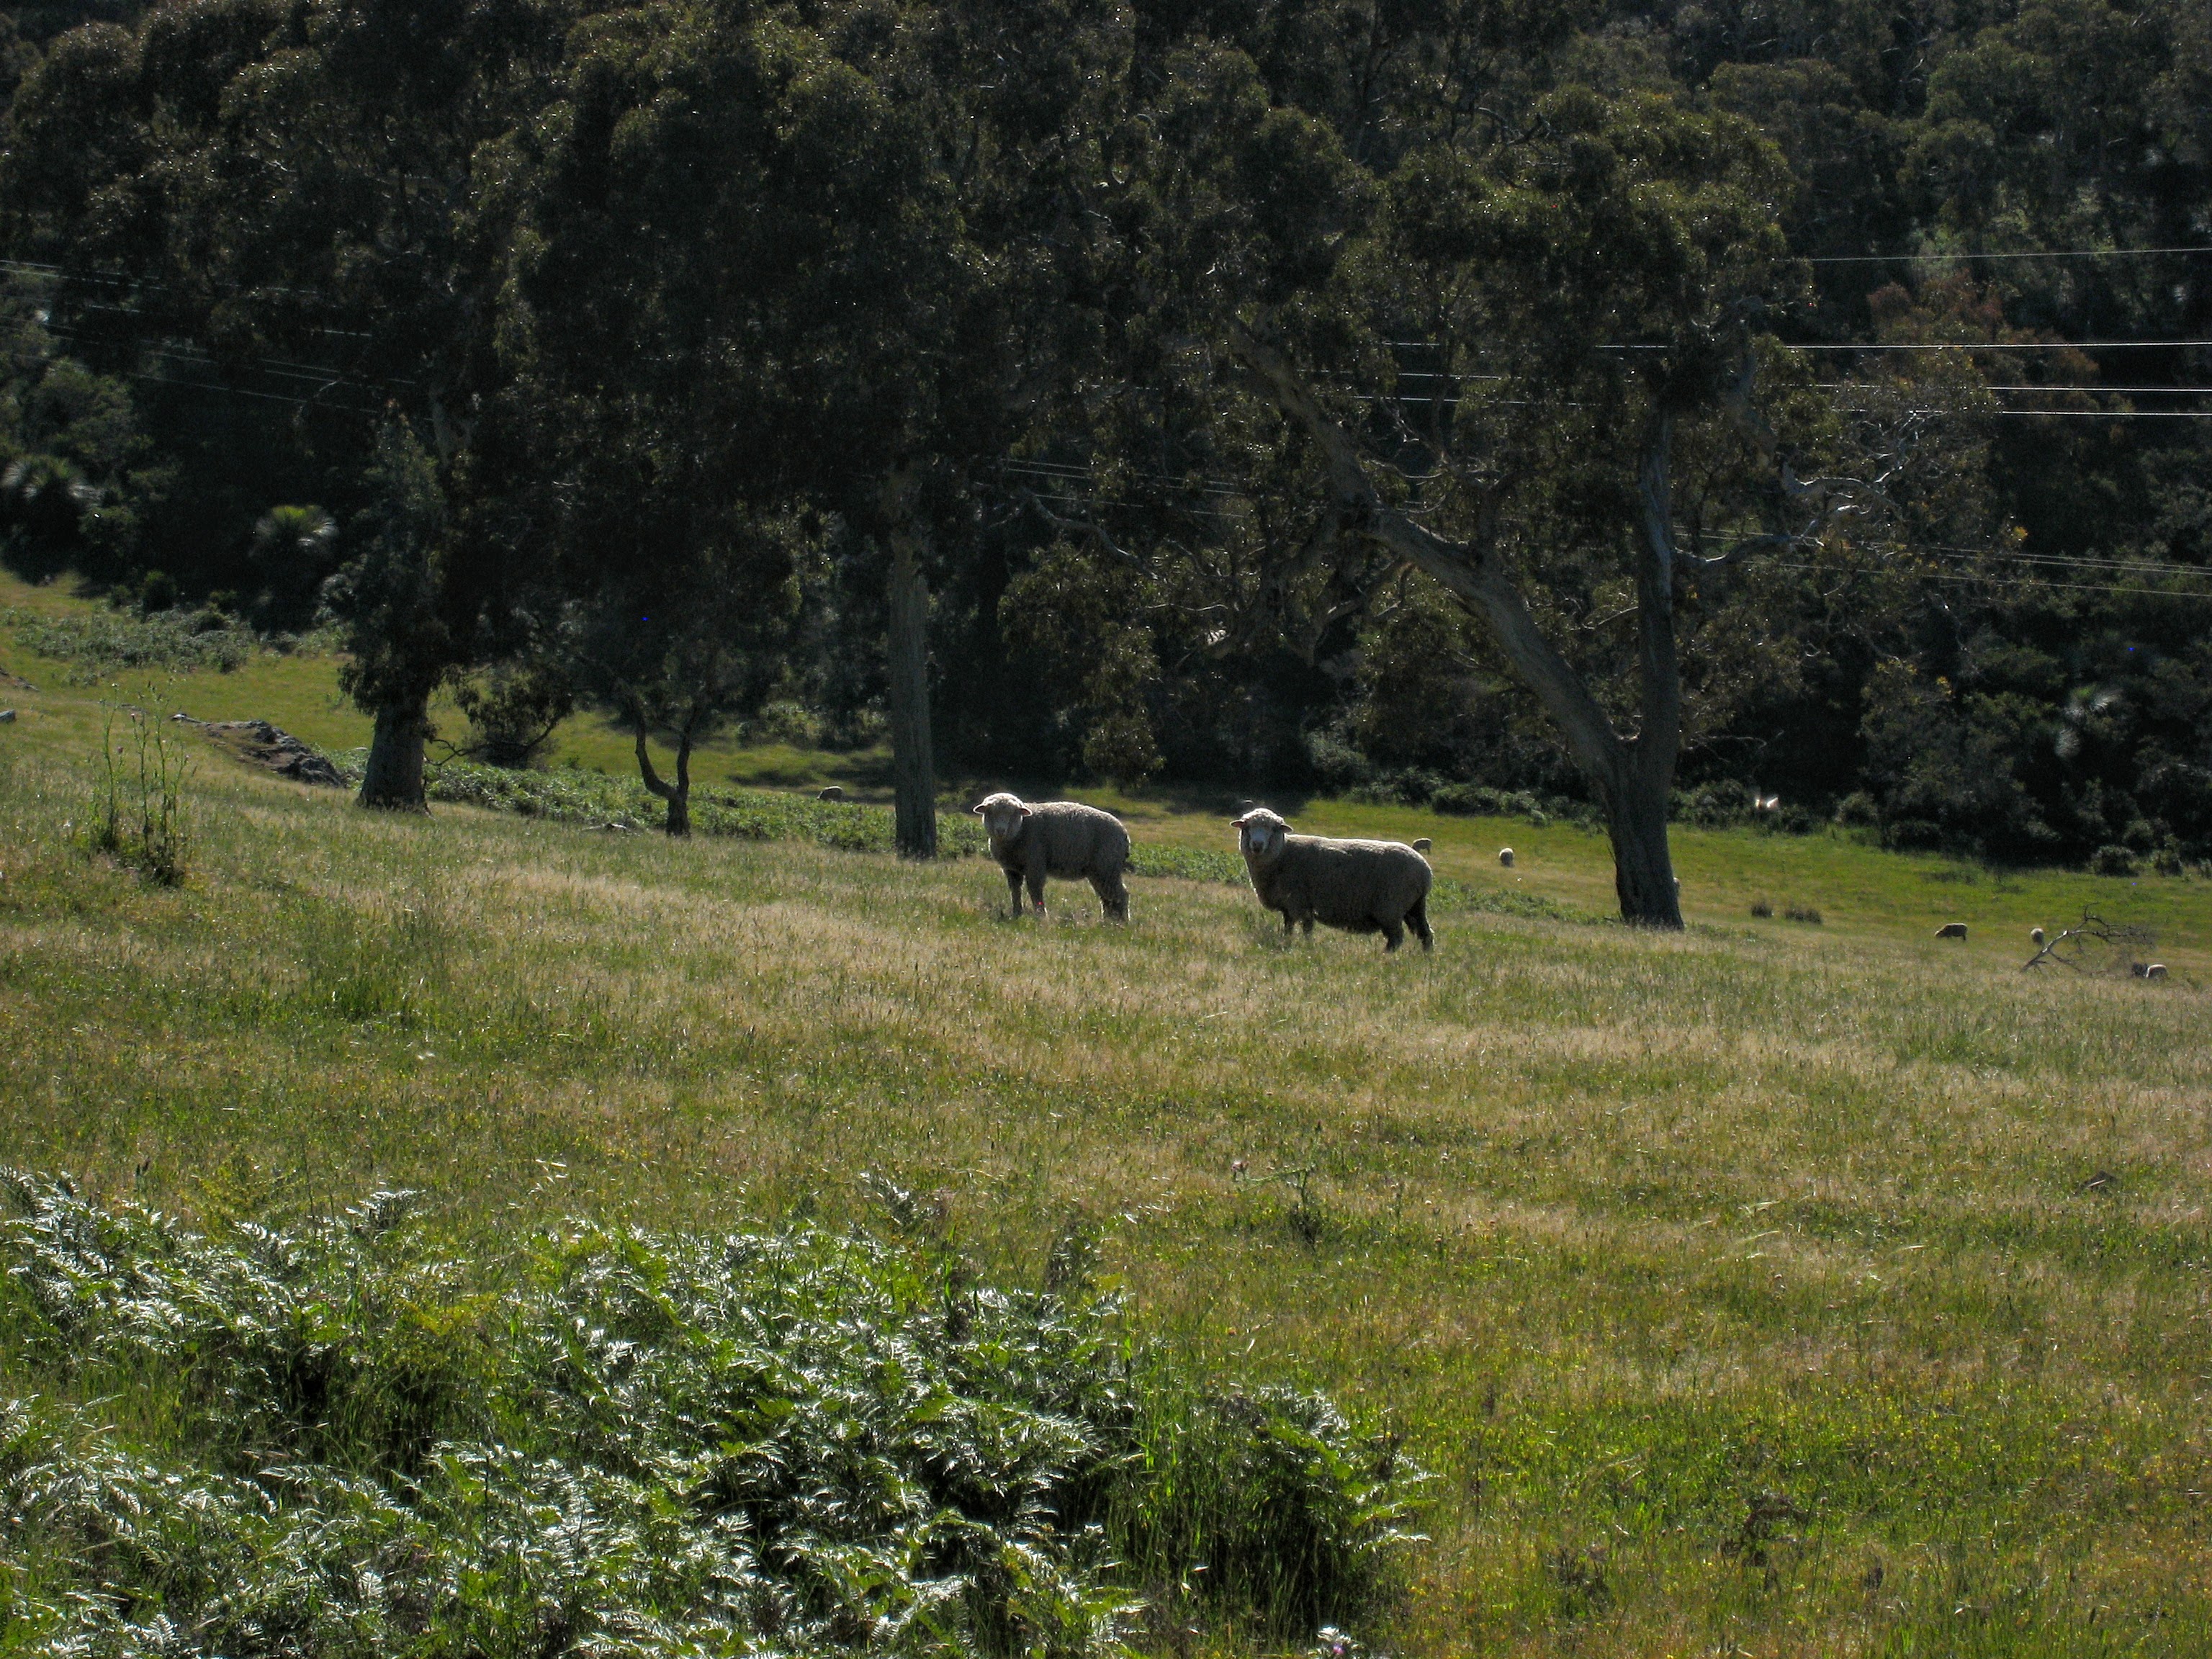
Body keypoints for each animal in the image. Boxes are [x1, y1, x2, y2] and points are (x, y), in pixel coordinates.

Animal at [973, 791, 1132, 925]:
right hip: (1099, 870)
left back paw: (1122, 922)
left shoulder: (1035, 862)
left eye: (1013, 814)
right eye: (990, 812)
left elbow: (1035, 889)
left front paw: (1040, 915)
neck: (1021, 829)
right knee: (1107, 896)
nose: (1000, 830)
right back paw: (1109, 920)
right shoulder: (1011, 868)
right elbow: (1015, 890)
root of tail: (1124, 834)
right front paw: (1017, 913)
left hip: (1107, 865)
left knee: (1120, 894)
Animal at [1230, 809, 1433, 956]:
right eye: (1246, 827)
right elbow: (1288, 928)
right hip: (1415, 906)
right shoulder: (1289, 906)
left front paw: (1306, 946)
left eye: (1274, 829)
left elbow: (1307, 929)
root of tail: (1425, 870)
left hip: (1390, 906)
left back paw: (1385, 956)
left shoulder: (1300, 902)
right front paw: (1287, 941)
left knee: (1396, 937)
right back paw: (1426, 957)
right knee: (1426, 933)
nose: (1257, 845)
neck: (1283, 854)